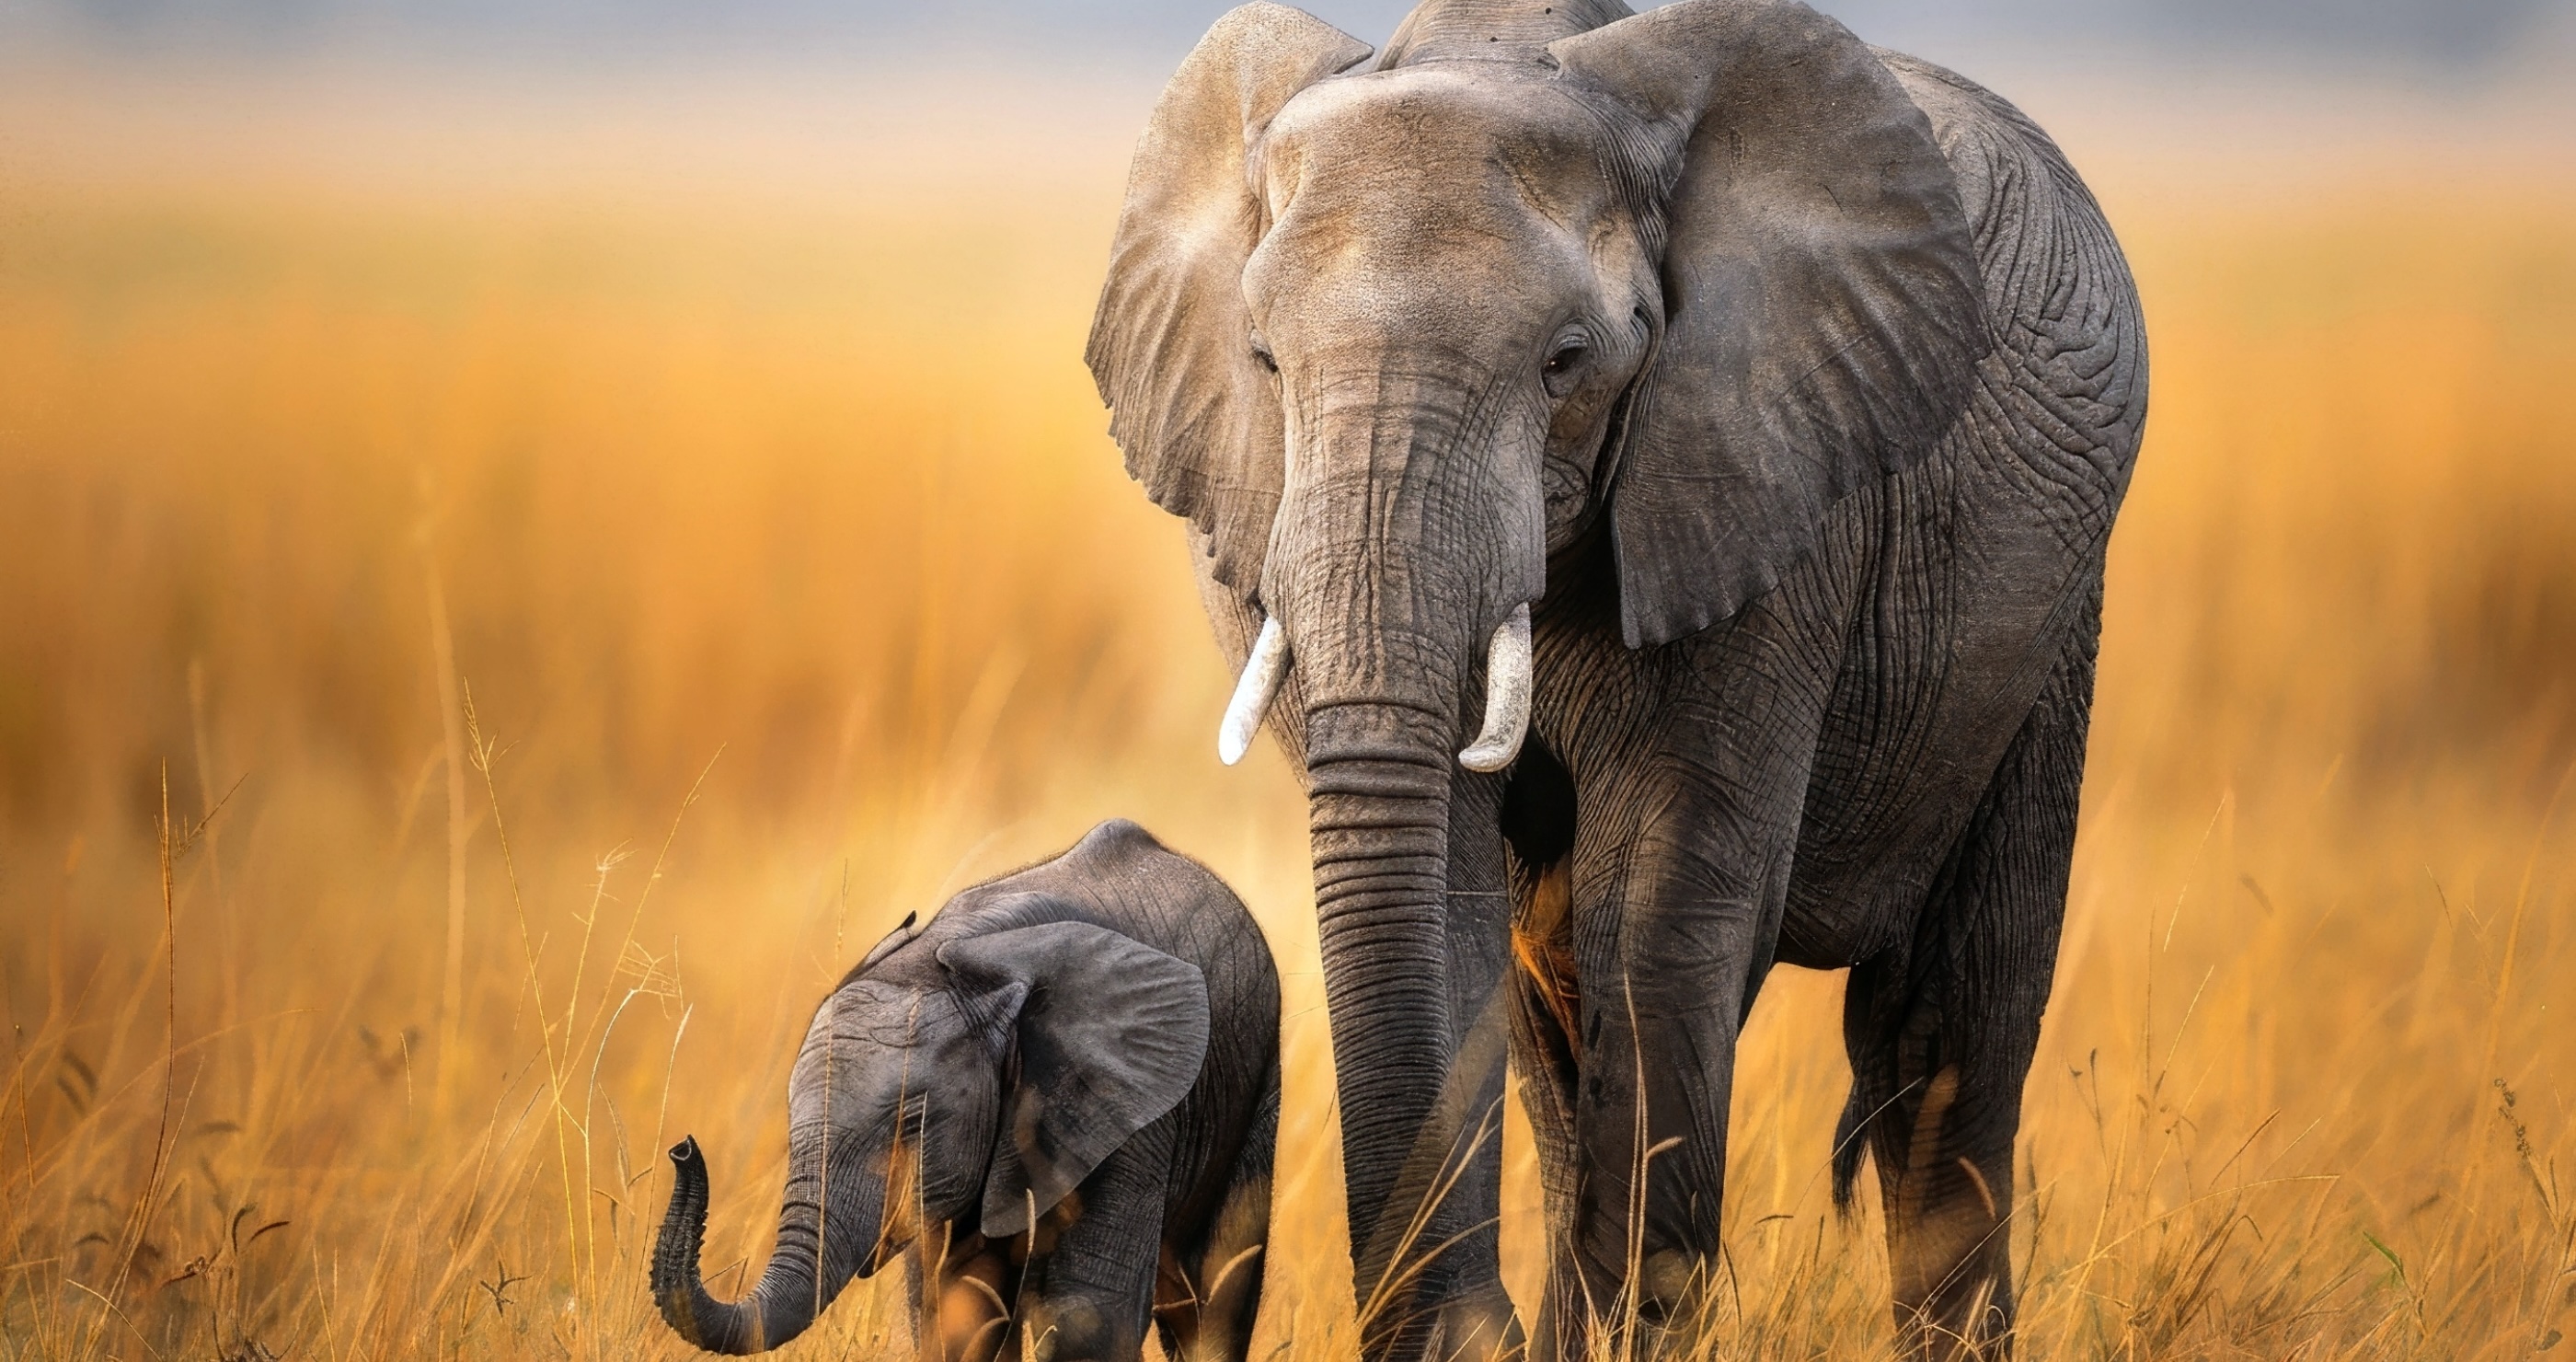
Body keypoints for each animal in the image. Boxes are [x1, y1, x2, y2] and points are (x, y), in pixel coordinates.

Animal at [650, 819, 1283, 1362]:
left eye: (911, 1124)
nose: (682, 1148)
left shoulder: (1127, 1111)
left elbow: (1088, 1323)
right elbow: (960, 1314)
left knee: (1213, 1298)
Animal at [1087, 0, 2145, 1357]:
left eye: (1567, 361)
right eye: (1264, 362)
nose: (1472, 1326)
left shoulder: (1764, 493)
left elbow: (1657, 915)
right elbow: (1457, 900)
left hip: (2053, 618)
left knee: (1949, 1036)